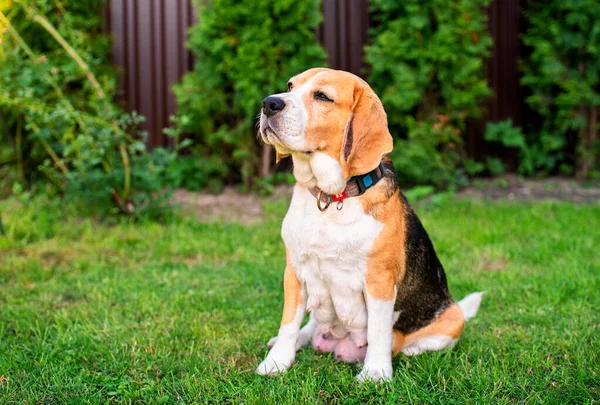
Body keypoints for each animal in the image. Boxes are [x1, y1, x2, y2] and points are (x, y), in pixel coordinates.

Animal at [255, 68, 486, 380]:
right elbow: (289, 323)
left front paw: (375, 373)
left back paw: (405, 350)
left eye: (322, 96)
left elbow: (378, 331)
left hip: (453, 318)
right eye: (290, 86)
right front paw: (276, 362)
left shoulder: (379, 281)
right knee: (310, 324)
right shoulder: (294, 272)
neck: (331, 199)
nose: (269, 103)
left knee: (411, 341)